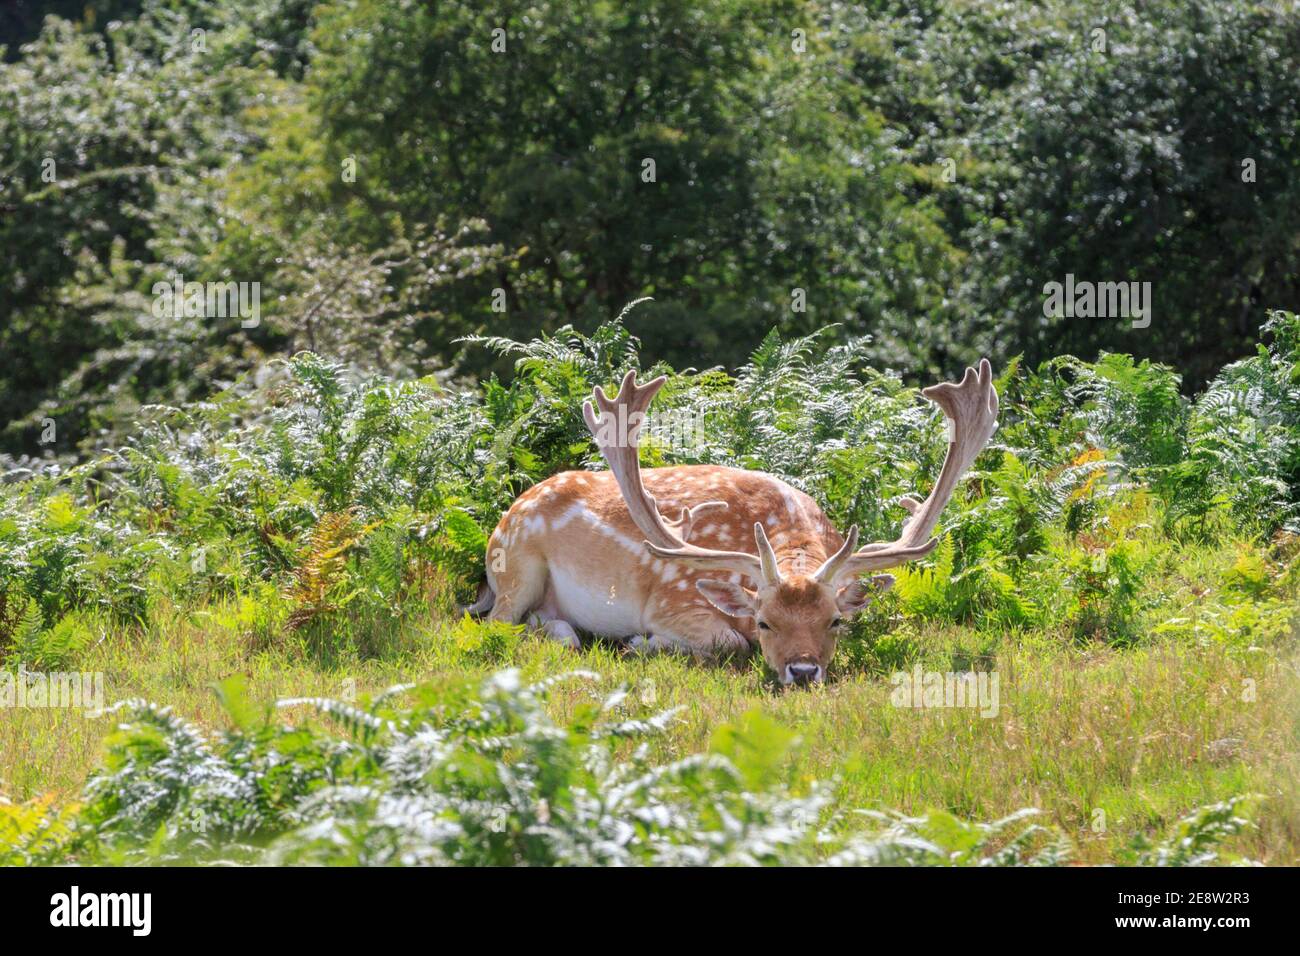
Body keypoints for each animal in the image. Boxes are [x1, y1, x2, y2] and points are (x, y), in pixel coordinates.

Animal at [473, 356, 998, 681]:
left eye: (834, 622)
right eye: (764, 622)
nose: (803, 671)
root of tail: (508, 513)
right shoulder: (672, 602)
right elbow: (728, 641)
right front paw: (639, 643)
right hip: (517, 566)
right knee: (498, 624)